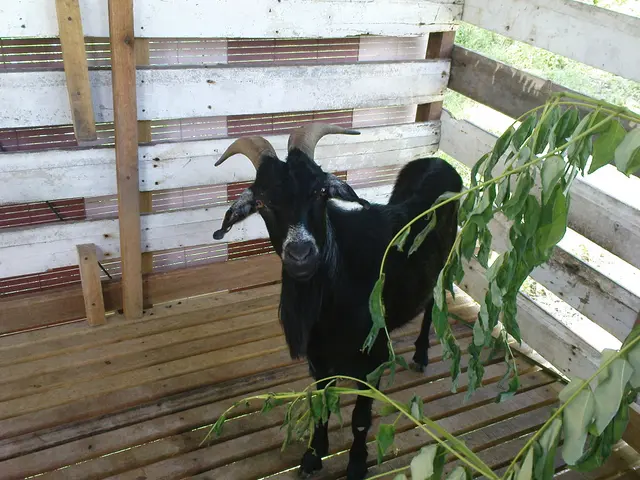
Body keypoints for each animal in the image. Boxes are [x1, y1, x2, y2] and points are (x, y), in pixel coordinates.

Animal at [212, 123, 463, 479]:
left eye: (320, 191)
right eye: (261, 201)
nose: (301, 254)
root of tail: (438, 161)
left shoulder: (372, 356)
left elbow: (360, 419)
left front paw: (356, 465)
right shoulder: (318, 359)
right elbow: (321, 405)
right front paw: (313, 456)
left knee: (431, 304)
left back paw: (421, 354)